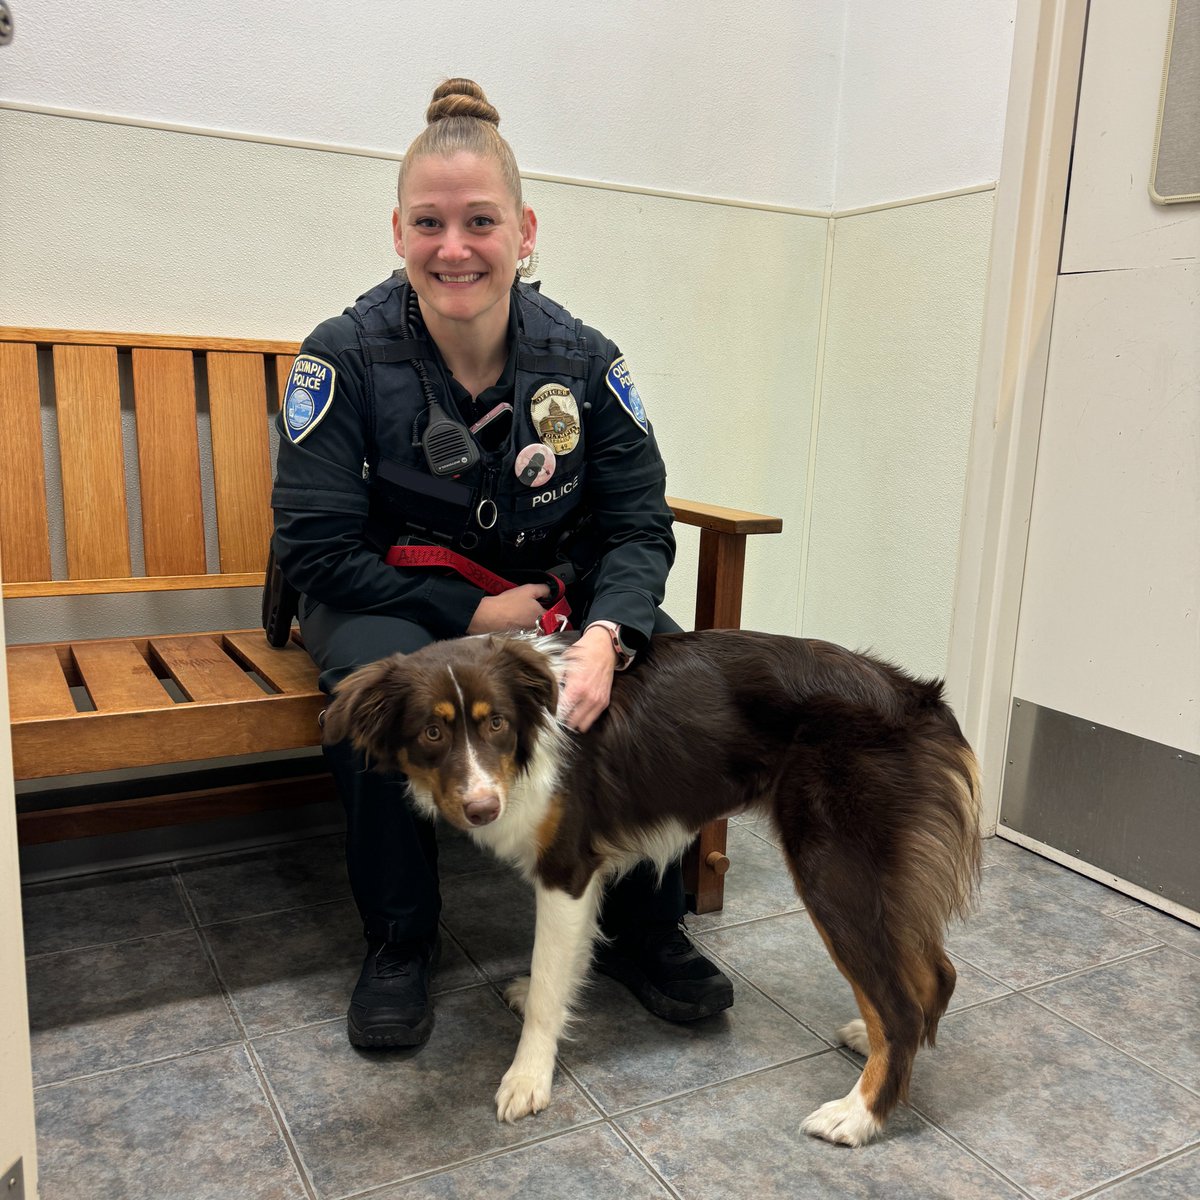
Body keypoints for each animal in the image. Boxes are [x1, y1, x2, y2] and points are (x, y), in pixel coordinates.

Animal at [324, 628, 979, 1142]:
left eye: (497, 723)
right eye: (431, 734)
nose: (483, 809)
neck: (531, 735)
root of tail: (919, 696)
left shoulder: (566, 870)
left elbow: (548, 987)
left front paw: (528, 1076)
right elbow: (562, 967)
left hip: (832, 866)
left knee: (898, 1002)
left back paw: (860, 1114)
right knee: (935, 973)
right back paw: (871, 1040)